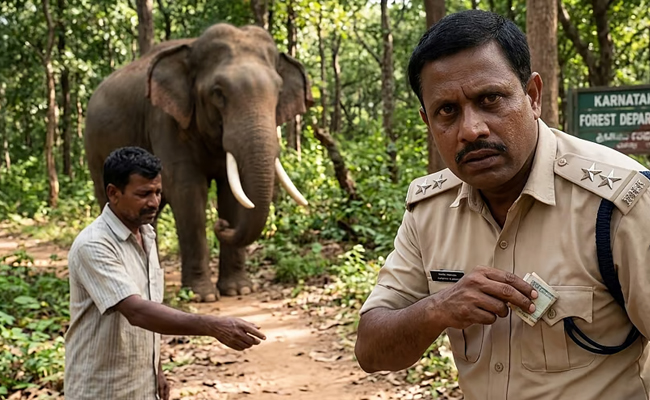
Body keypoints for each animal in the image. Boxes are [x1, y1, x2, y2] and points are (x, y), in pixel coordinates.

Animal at [84, 23, 313, 302]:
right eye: (218, 93)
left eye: (278, 92)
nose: (222, 225)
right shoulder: (164, 120)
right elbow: (188, 191)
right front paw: (202, 296)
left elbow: (230, 194)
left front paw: (238, 290)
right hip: (95, 150)